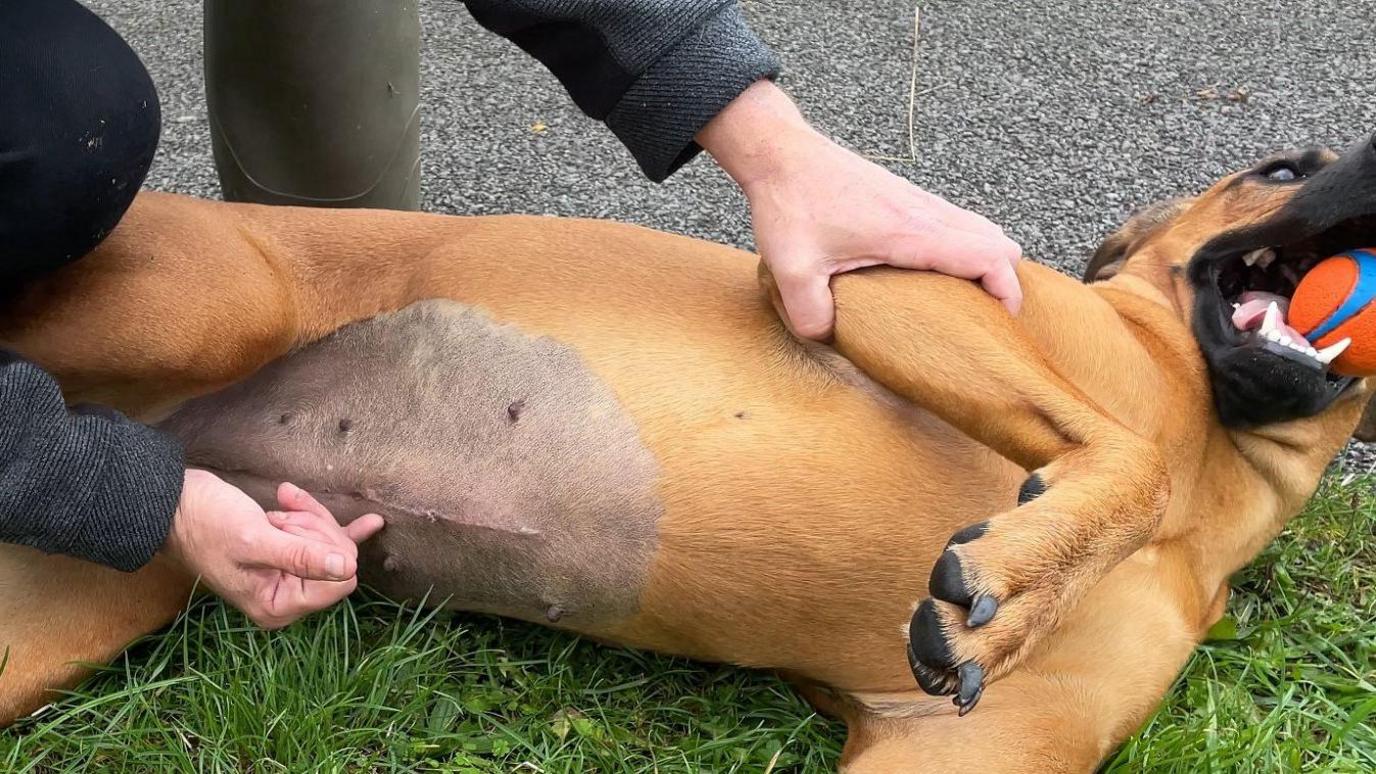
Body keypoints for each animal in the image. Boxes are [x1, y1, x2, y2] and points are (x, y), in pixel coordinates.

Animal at [2, 132, 1376, 765]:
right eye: (1280, 166)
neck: (1219, 465)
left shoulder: (956, 750)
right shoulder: (866, 275)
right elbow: (1122, 463)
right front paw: (1029, 569)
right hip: (219, 299)